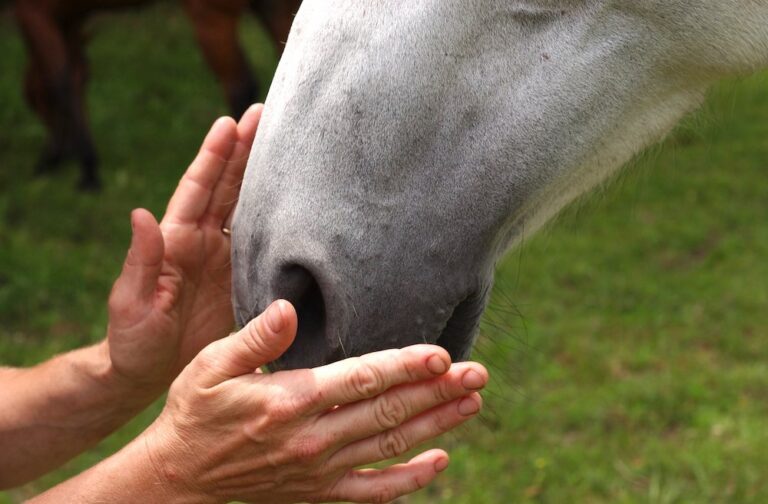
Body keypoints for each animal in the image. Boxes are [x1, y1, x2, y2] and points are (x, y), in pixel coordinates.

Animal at [12, 0, 301, 190]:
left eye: (33, 101)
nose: (60, 153)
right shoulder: (64, 22)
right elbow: (74, 75)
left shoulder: (34, 13)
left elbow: (59, 84)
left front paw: (80, 168)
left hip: (210, 13)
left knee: (241, 85)